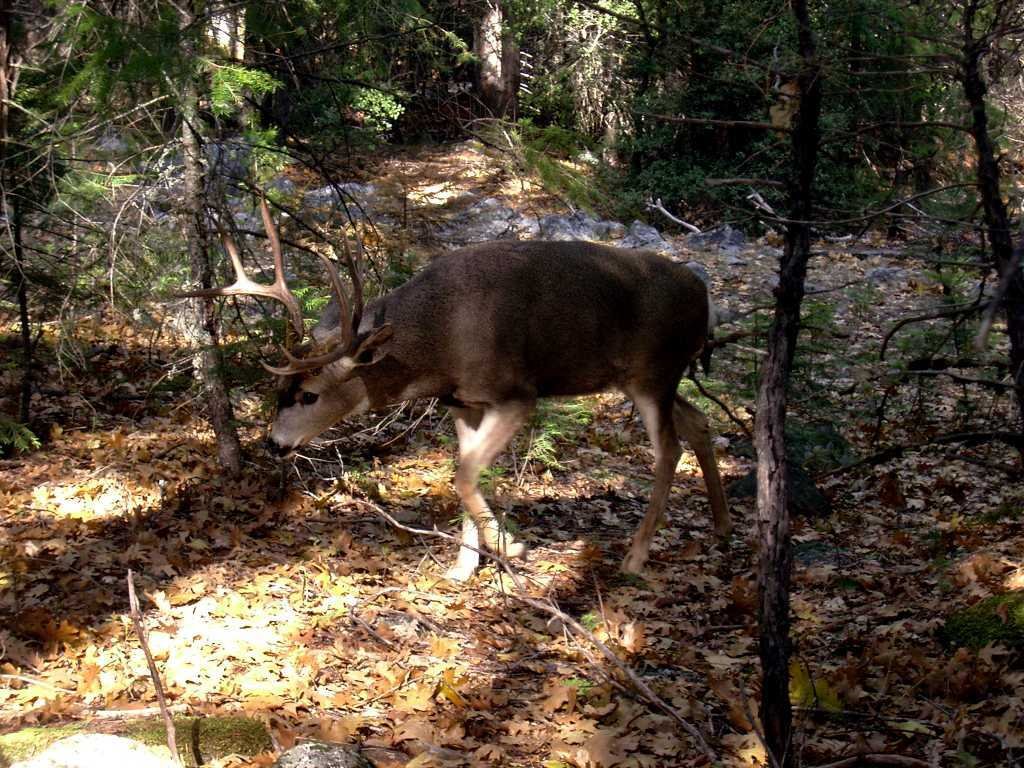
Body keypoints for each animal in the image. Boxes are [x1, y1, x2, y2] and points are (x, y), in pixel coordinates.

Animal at [182, 198, 729, 581]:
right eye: (279, 390)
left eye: (309, 395)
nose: (274, 444)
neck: (439, 343)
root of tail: (704, 295)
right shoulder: (461, 403)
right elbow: (463, 470)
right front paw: (465, 564)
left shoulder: (515, 392)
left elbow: (463, 475)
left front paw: (510, 547)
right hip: (654, 377)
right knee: (699, 422)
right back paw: (721, 525)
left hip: (652, 372)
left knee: (668, 448)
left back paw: (636, 556)